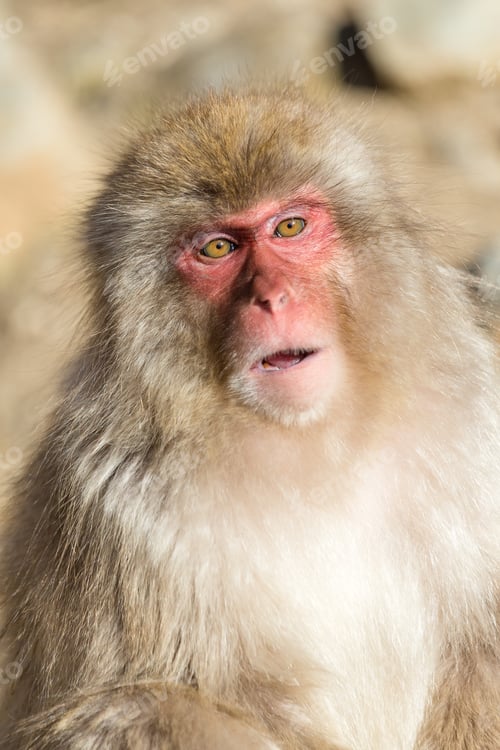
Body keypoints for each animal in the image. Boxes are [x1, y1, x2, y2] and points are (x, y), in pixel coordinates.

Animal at [0, 85, 499, 750]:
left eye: (289, 227)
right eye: (218, 248)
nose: (271, 297)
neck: (316, 439)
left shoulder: (475, 414)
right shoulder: (117, 500)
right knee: (141, 711)